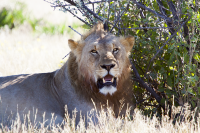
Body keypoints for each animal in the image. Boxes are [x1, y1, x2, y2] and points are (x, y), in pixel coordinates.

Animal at [0, 22, 135, 127]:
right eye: (94, 51)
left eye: (115, 49)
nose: (108, 66)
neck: (109, 98)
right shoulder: (92, 120)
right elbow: (126, 124)